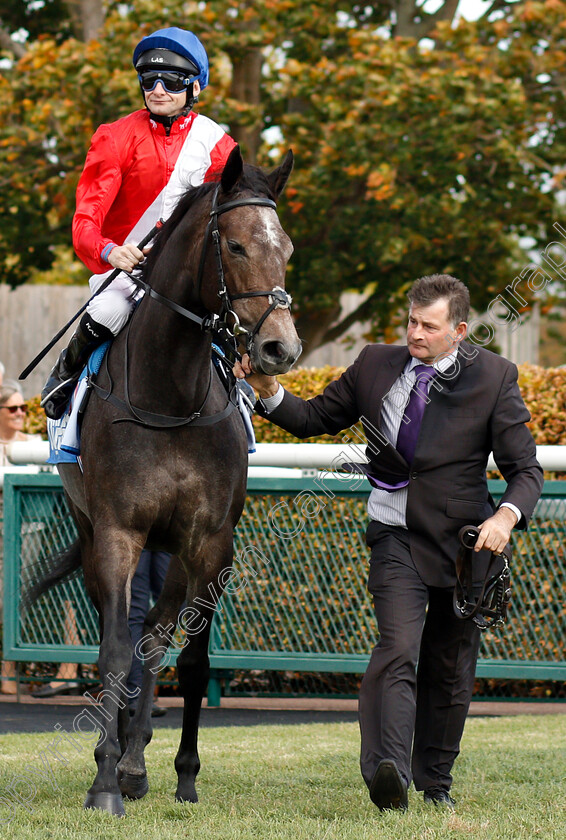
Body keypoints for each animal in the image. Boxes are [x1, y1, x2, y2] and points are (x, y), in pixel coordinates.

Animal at [27, 148, 302, 816]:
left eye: (286, 246)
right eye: (235, 245)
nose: (279, 348)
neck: (172, 399)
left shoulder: (212, 542)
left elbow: (193, 660)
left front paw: (183, 773)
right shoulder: (119, 534)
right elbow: (113, 650)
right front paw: (103, 783)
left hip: (175, 550)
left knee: (154, 634)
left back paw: (137, 756)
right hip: (95, 533)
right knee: (131, 633)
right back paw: (120, 759)